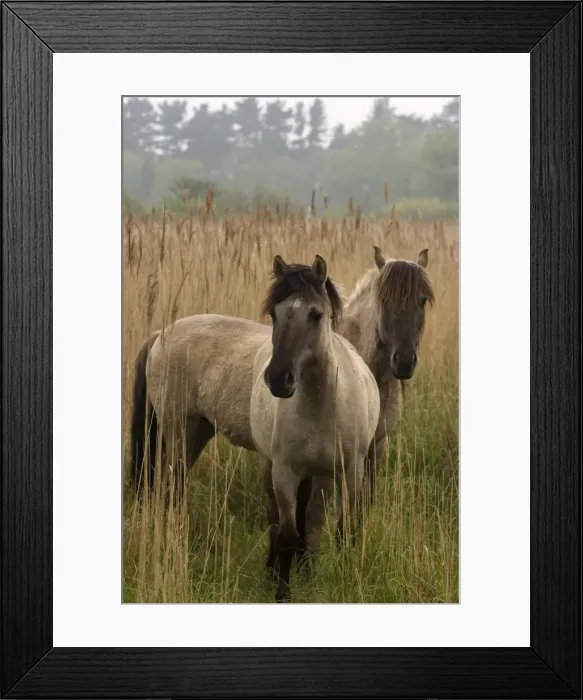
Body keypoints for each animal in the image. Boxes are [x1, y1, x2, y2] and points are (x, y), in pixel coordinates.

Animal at [249, 254, 380, 602]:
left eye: (316, 314)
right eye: (274, 313)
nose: (278, 379)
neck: (320, 408)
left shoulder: (350, 472)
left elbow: (341, 530)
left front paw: (346, 580)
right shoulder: (285, 472)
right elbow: (286, 536)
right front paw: (282, 593)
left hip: (323, 476)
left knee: (314, 523)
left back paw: (310, 571)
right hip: (272, 468)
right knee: (278, 522)